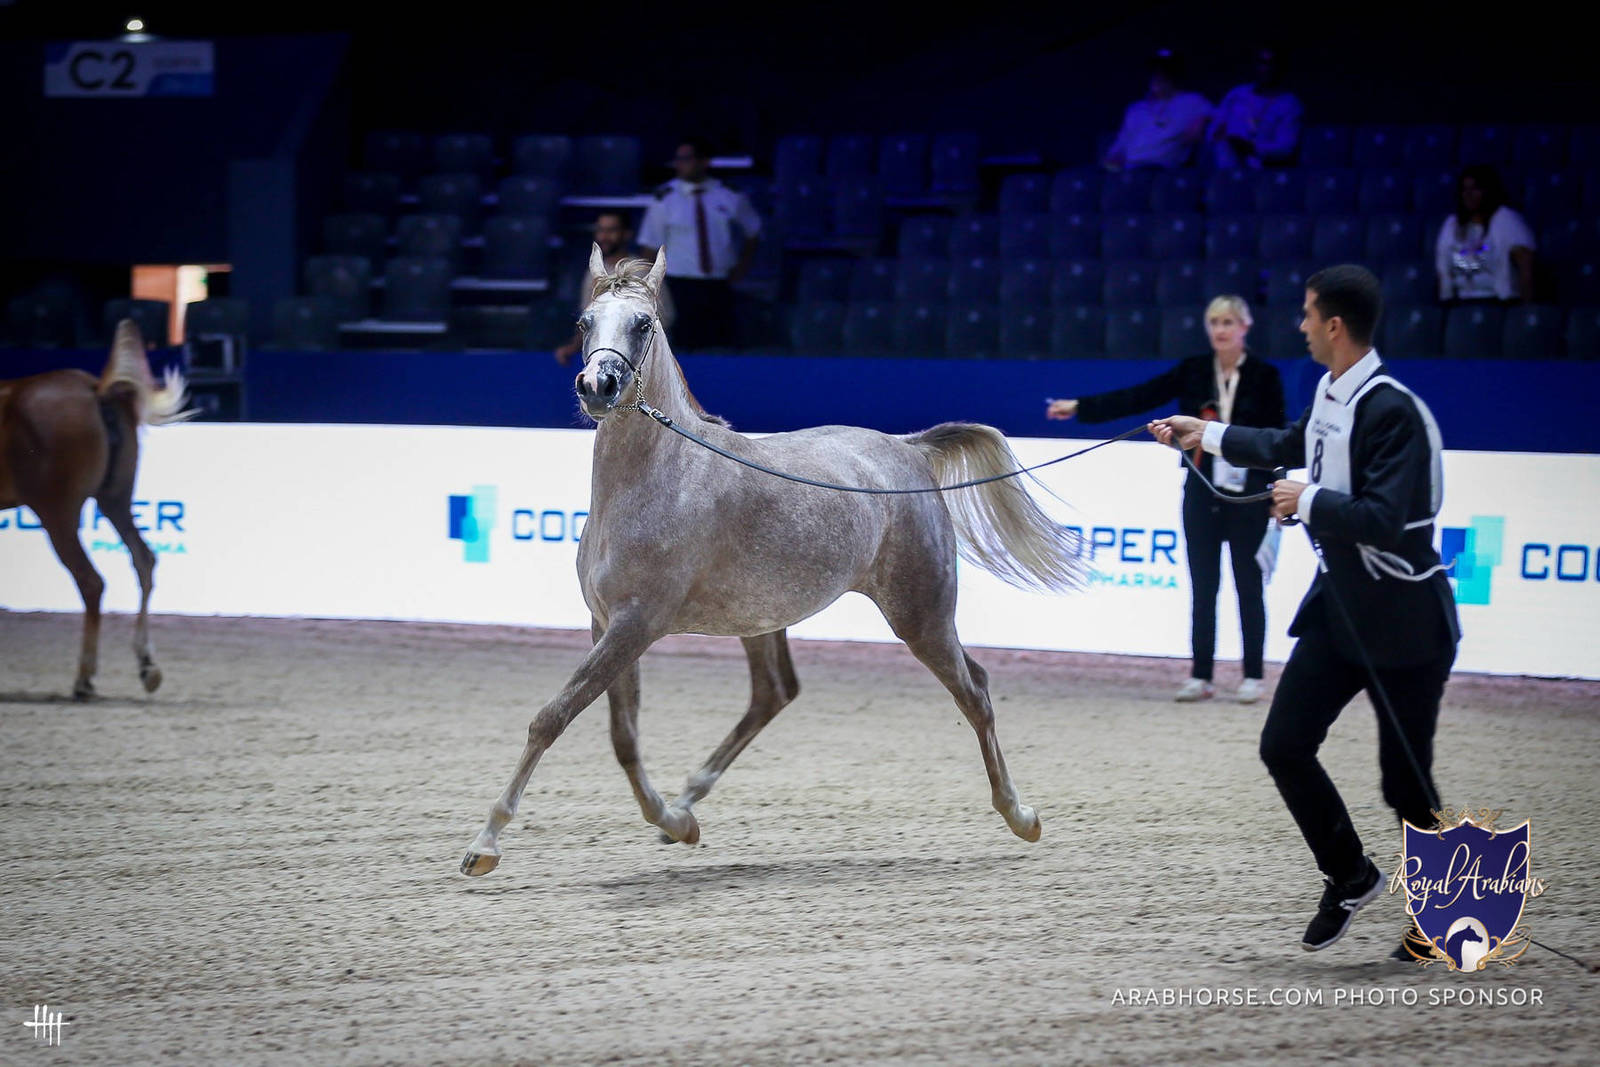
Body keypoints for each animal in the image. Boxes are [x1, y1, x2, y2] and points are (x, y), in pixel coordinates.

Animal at [0, 319, 193, 698]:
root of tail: (97, 390)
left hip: (57, 514)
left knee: (91, 582)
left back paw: (85, 678)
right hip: (115, 501)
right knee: (144, 560)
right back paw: (146, 664)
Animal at [460, 247, 1086, 876]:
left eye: (642, 324)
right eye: (585, 322)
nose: (598, 384)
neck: (658, 481)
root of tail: (907, 448)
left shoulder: (635, 625)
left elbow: (553, 716)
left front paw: (484, 845)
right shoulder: (606, 624)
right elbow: (623, 737)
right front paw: (675, 824)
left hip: (921, 614)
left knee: (974, 691)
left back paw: (1021, 816)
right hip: (764, 620)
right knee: (775, 693)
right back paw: (687, 803)